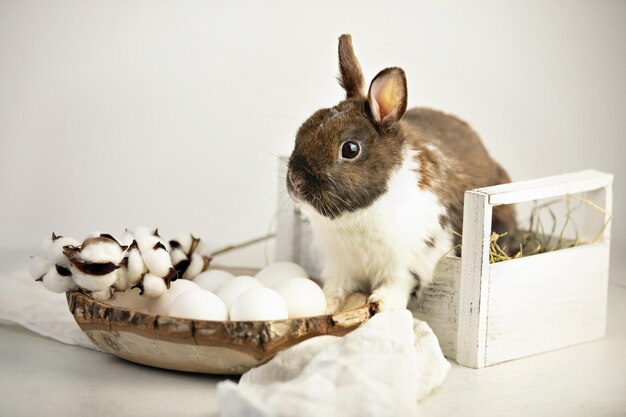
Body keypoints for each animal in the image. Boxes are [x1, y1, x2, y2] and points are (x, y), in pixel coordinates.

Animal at [286, 33, 516, 312]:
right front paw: (327, 304)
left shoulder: (409, 261)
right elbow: (336, 286)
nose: (295, 183)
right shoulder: (341, 265)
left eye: (350, 149)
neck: (361, 215)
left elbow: (398, 284)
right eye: (303, 129)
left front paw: (381, 304)